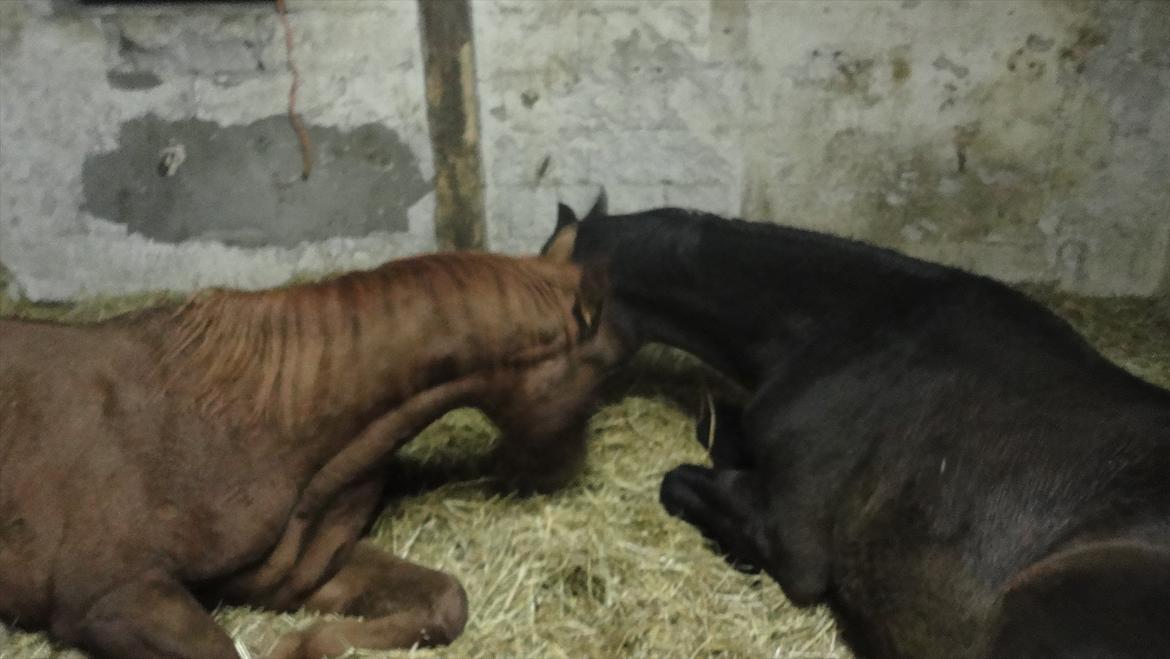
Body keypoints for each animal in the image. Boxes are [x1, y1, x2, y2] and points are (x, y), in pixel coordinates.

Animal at [0, 250, 631, 655]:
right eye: (603, 369)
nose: (563, 472)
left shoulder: (292, 575)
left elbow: (444, 601)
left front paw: (301, 643)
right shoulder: (109, 596)